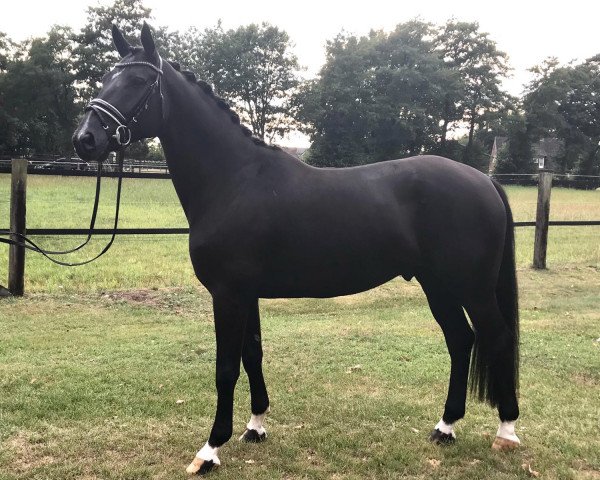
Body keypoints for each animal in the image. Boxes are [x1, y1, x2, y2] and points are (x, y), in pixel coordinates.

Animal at [71, 24, 520, 474]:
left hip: (472, 288)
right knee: (461, 340)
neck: (234, 181)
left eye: (138, 81)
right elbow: (252, 354)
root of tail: (484, 180)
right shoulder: (245, 294)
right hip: (438, 285)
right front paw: (255, 427)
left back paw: (506, 431)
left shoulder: (228, 295)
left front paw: (210, 449)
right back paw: (445, 427)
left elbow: (225, 368)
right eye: (107, 77)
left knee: (495, 336)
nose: (85, 139)